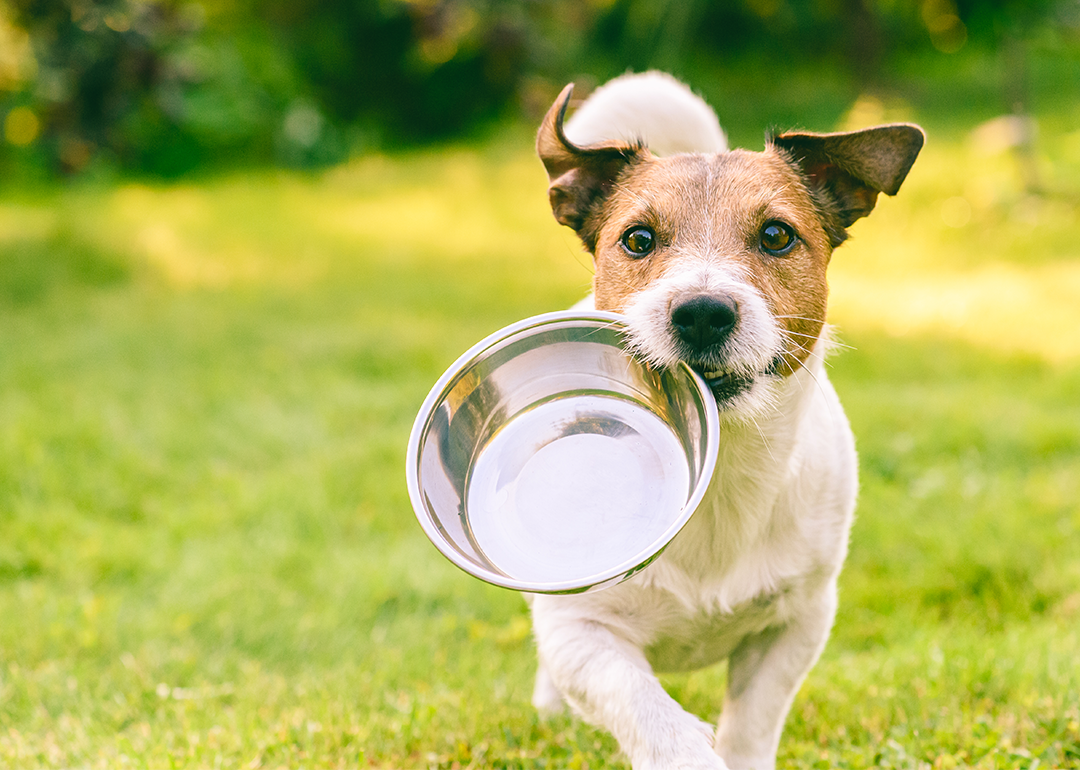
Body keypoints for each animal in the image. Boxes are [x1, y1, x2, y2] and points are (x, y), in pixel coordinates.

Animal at [527, 73, 924, 768]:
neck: (721, 472)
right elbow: (642, 704)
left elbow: (751, 724)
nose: (703, 312)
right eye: (637, 239)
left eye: (776, 235)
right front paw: (682, 747)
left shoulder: (797, 624)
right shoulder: (581, 631)